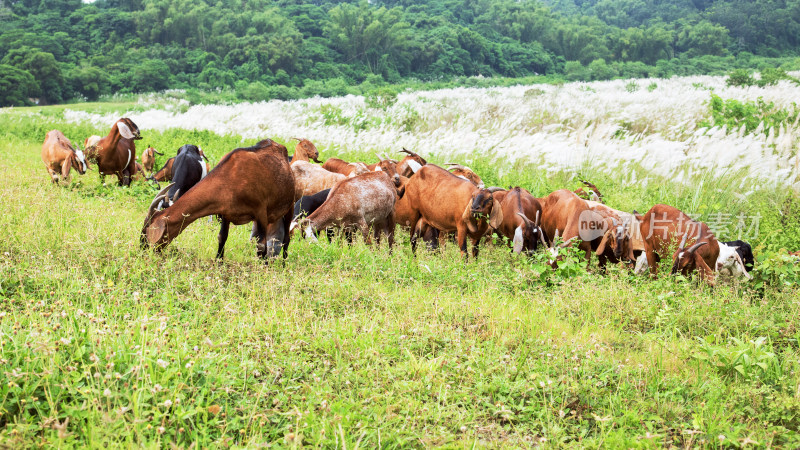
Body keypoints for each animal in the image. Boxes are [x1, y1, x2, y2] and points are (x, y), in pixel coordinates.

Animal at [142, 139, 296, 262]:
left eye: (147, 229)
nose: (143, 248)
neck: (230, 178)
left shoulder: (261, 213)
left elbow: (261, 245)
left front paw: (263, 268)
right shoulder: (226, 213)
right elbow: (222, 237)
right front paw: (219, 263)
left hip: (290, 205)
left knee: (286, 239)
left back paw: (283, 263)